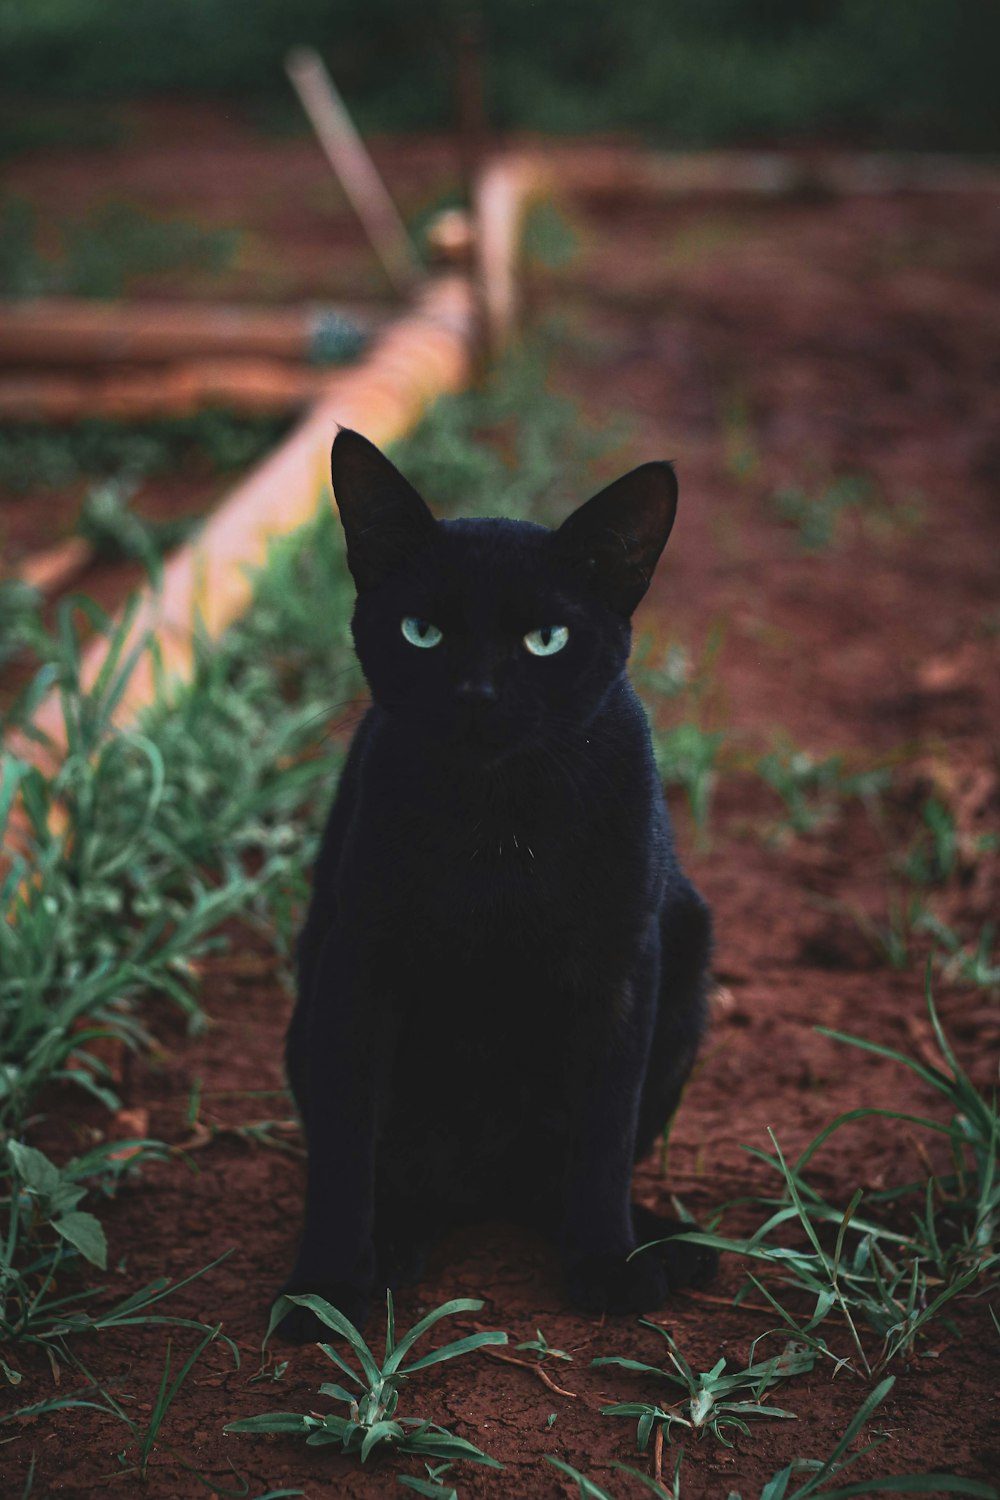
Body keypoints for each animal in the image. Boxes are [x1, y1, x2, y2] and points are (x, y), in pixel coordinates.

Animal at [281, 429, 716, 1344]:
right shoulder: (359, 967)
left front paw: (607, 1263)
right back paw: (393, 1246)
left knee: (555, 1176)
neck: (500, 826)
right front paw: (325, 1287)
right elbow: (345, 1146)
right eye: (422, 631)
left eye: (546, 640)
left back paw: (664, 1244)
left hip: (689, 962)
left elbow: (604, 1132)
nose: (476, 693)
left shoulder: (622, 969)